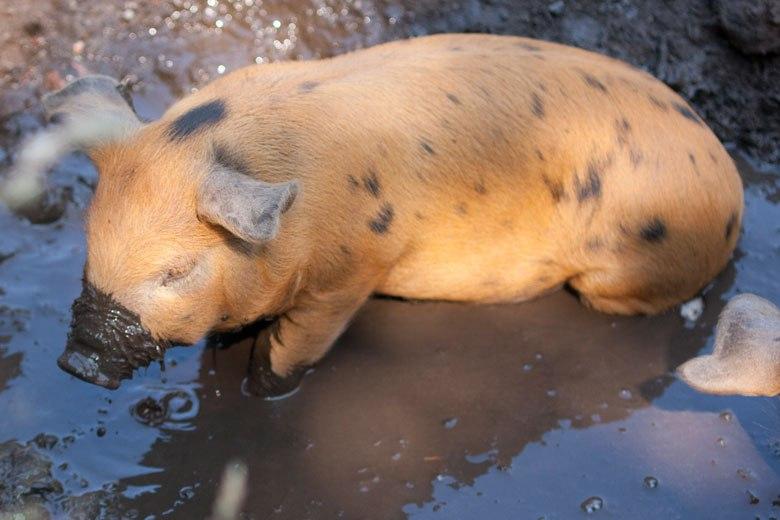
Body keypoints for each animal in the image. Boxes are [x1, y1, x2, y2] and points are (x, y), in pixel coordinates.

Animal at [10, 34, 744, 396]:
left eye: (177, 271)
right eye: (89, 240)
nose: (76, 362)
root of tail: (731, 183)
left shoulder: (352, 272)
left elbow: (298, 345)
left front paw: (261, 390)